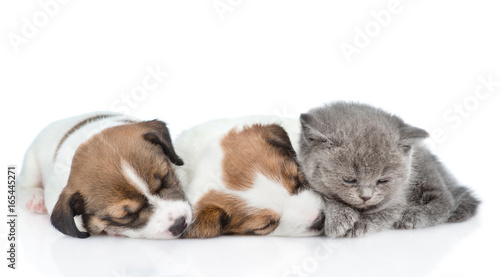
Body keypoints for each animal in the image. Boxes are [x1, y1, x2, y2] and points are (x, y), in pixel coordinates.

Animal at [298, 102, 478, 237]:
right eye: (349, 180)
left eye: (382, 180)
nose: (366, 197)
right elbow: (327, 196)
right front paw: (340, 215)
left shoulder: (398, 197)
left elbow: (384, 214)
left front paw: (359, 224)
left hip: (426, 172)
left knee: (446, 200)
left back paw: (413, 215)